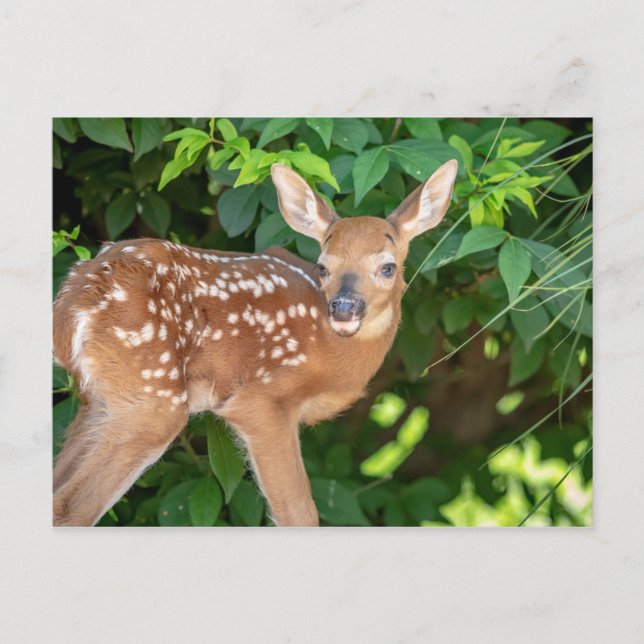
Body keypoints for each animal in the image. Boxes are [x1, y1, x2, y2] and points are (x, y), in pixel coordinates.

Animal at [52, 160, 458, 527]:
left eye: (388, 267)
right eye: (323, 266)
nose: (343, 308)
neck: (330, 353)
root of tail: (73, 301)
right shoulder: (261, 399)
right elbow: (299, 515)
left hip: (99, 399)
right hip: (151, 395)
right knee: (70, 507)